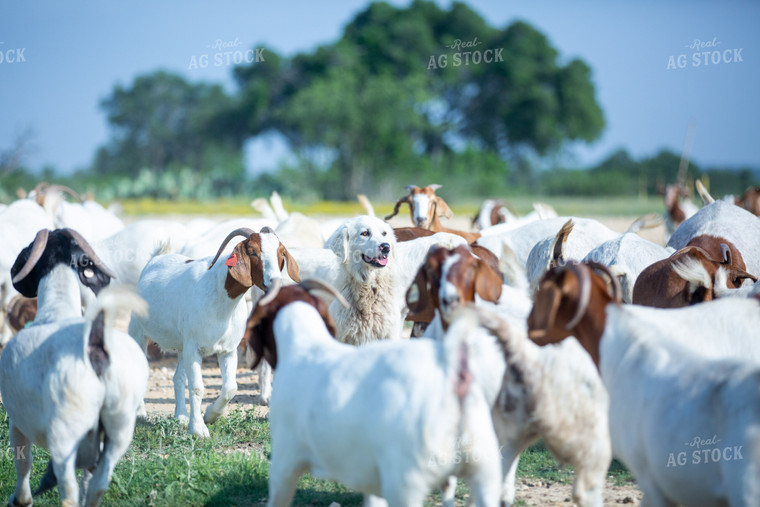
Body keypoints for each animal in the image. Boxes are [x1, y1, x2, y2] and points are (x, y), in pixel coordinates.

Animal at [0, 229, 147, 507]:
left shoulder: (17, 421)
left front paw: (21, 499)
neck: (58, 309)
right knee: (98, 484)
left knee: (69, 491)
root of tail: (95, 345)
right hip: (119, 428)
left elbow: (23, 462)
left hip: (65, 434)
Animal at [129, 228, 298, 434]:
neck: (221, 299)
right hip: (138, 331)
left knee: (178, 377)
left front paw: (210, 415)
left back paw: (181, 416)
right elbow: (197, 387)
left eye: (281, 252)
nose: (275, 282)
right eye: (252, 252)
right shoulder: (194, 348)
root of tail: (156, 259)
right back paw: (140, 414)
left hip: (182, 346)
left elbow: (231, 387)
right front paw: (198, 429)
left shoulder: (227, 350)